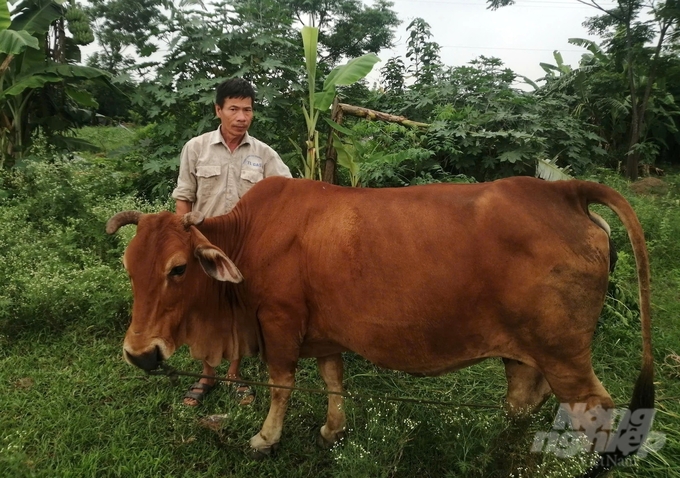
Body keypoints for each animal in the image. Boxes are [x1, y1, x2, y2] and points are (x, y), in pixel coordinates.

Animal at [106, 176, 652, 478]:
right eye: (129, 267)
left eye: (178, 269)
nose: (139, 353)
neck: (247, 235)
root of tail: (564, 190)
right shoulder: (323, 332)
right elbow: (332, 378)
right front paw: (332, 430)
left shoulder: (279, 322)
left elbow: (282, 385)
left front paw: (266, 439)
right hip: (527, 356)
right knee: (524, 405)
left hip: (565, 357)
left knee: (597, 416)